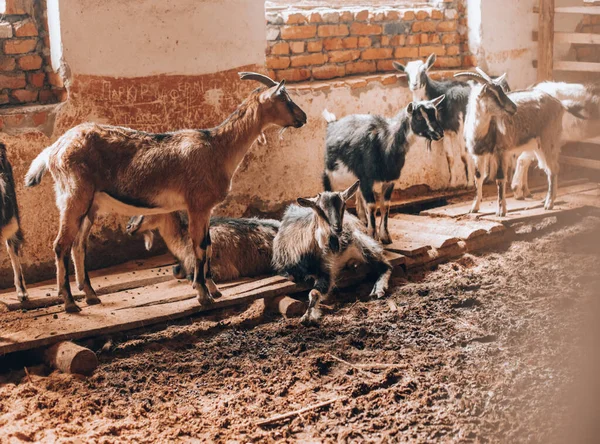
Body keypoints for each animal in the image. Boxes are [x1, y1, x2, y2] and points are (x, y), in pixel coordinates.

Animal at [272, 181, 394, 326]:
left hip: (362, 243)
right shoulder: (284, 268)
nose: (337, 228)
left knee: (385, 265)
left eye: (344, 204)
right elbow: (291, 277)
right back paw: (353, 264)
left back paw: (378, 289)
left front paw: (307, 316)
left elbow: (314, 292)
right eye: (319, 208)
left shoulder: (326, 270)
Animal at [324, 95, 446, 245]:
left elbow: (385, 205)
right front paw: (373, 236)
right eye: (418, 117)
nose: (439, 133)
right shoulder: (366, 178)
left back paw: (363, 220)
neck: (386, 142)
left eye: (435, 113)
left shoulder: (390, 180)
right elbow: (372, 206)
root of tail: (332, 123)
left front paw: (385, 236)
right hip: (329, 173)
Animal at [458, 67, 564, 217]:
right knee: (549, 169)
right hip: (537, 146)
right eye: (492, 93)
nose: (513, 107)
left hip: (549, 140)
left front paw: (501, 211)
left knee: (553, 169)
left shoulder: (501, 152)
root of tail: (558, 103)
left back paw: (549, 204)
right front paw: (474, 208)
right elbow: (478, 177)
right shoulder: (478, 154)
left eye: (502, 90)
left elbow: (500, 178)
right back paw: (547, 201)